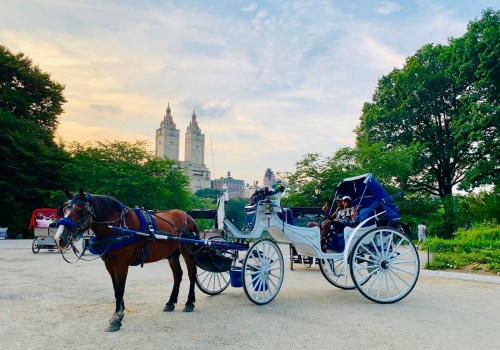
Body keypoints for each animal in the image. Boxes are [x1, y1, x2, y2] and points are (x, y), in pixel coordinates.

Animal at [54, 189, 201, 330]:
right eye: (65, 209)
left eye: (79, 211)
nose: (59, 238)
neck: (117, 227)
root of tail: (187, 216)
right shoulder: (109, 264)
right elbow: (116, 288)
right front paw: (119, 313)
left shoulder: (121, 264)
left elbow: (120, 289)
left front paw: (116, 318)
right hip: (173, 254)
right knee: (178, 275)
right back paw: (170, 302)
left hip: (187, 251)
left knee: (192, 274)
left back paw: (189, 303)